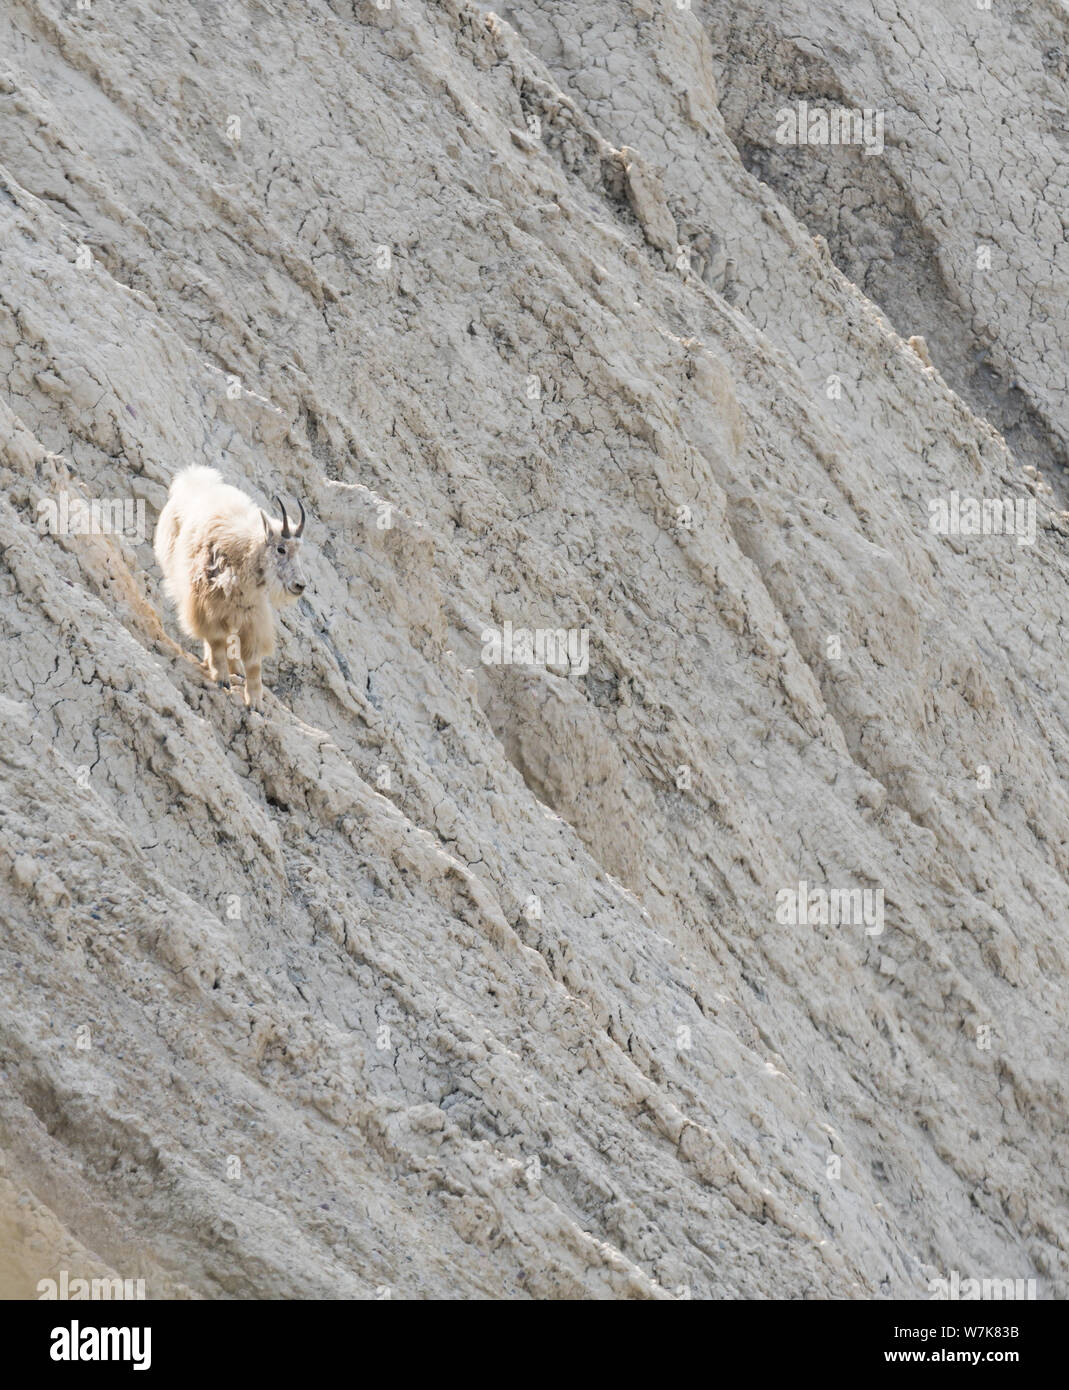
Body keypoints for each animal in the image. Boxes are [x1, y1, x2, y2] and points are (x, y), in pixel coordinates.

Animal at [154, 466, 307, 711]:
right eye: (281, 549)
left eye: (299, 551)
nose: (299, 585)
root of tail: (190, 481)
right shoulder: (206, 601)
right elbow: (215, 640)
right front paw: (221, 678)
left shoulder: (251, 611)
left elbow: (253, 660)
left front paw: (255, 702)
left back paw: (236, 670)